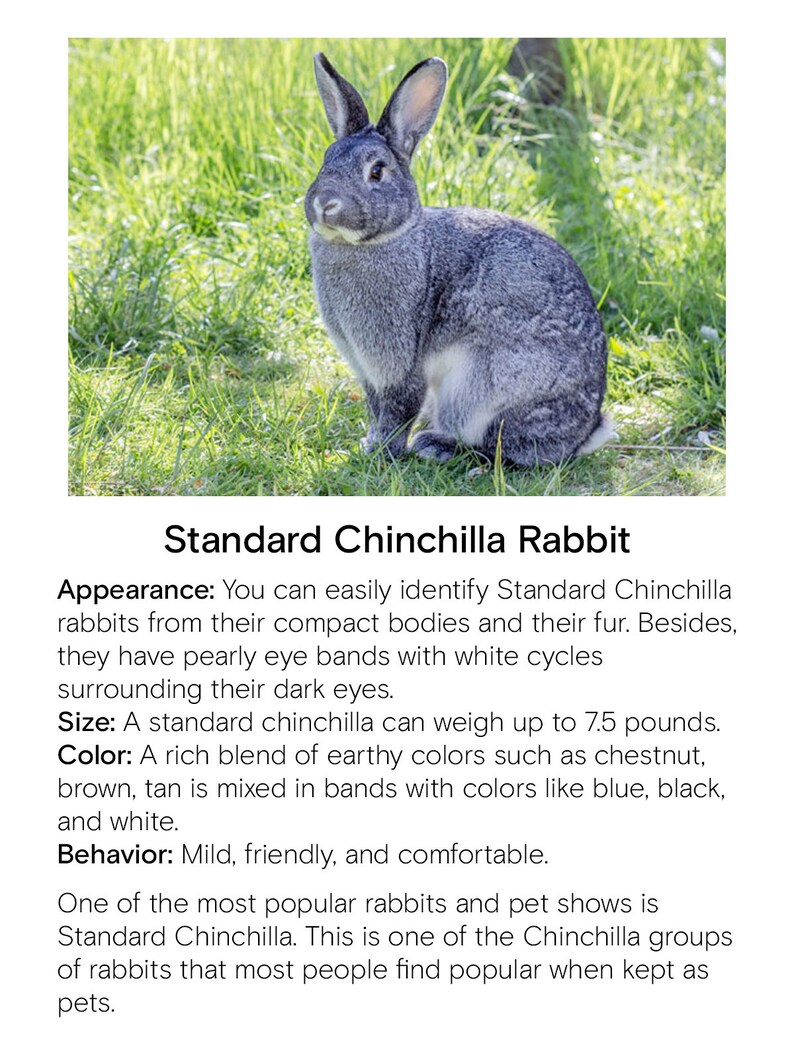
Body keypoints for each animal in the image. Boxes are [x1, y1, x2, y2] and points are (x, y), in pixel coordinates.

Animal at [305, 53, 611, 466]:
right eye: (325, 160)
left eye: (377, 171)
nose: (325, 203)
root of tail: (585, 431)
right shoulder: (366, 368)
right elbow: (375, 407)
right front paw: (368, 444)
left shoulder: (399, 362)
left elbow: (398, 410)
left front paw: (384, 453)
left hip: (485, 386)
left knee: (499, 447)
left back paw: (436, 445)